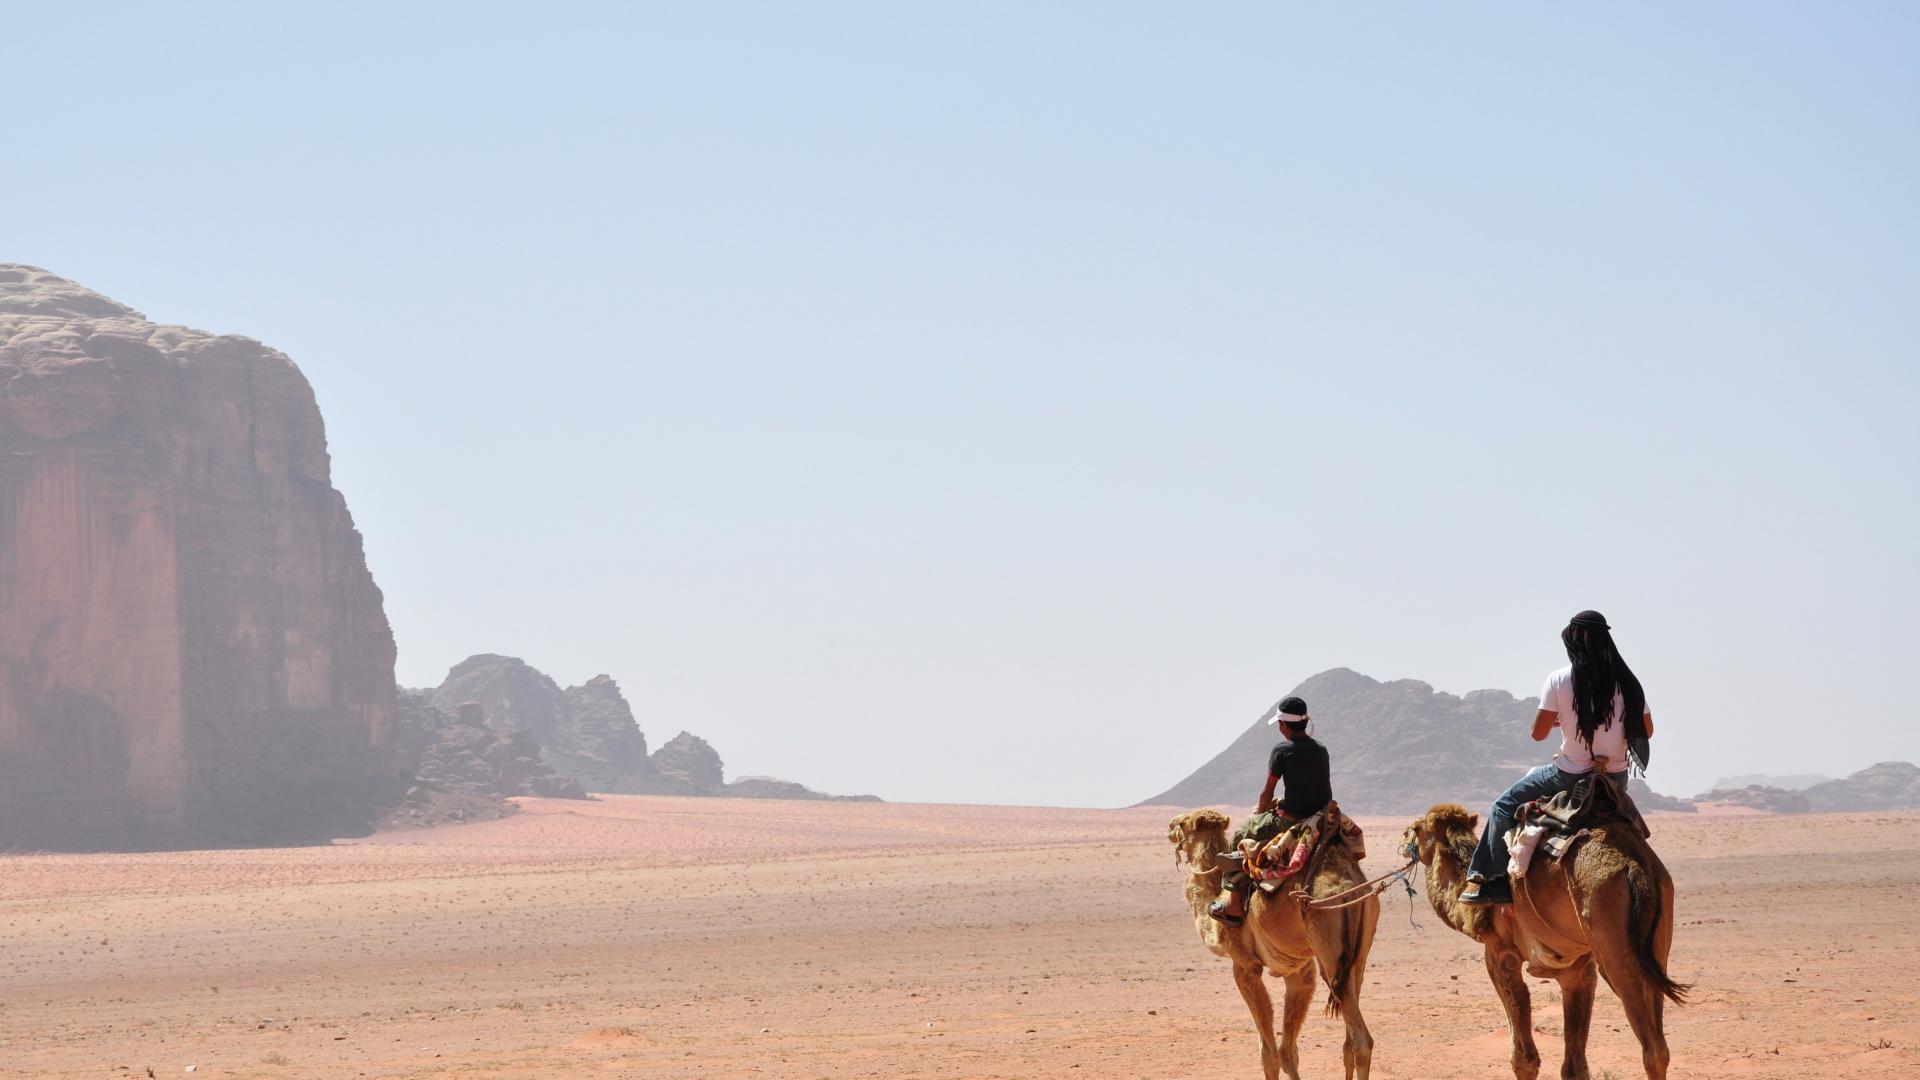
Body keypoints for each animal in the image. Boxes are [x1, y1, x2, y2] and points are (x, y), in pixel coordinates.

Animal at [1167, 807, 1382, 1076]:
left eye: (1183, 823)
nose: (1169, 827)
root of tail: (1350, 889)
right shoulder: (1299, 971)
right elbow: (1288, 1051)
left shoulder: (1245, 965)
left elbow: (1269, 1054)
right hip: (1357, 955)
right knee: (1349, 1040)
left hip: (1329, 948)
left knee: (1361, 1041)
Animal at [1405, 799, 1689, 1076]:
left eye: (1417, 829)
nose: (1405, 840)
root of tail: (1636, 867)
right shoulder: (1577, 970)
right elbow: (1574, 1065)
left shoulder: (1500, 953)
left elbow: (1524, 1058)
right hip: (1657, 937)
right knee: (1661, 1044)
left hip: (1612, 941)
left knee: (1652, 1048)